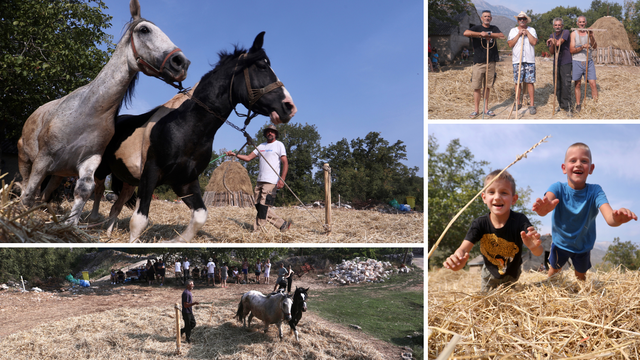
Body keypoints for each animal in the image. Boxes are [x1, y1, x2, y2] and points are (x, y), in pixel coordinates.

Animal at [16, 0, 189, 225]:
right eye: (144, 30)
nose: (181, 62)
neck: (86, 114)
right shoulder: (42, 160)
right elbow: (29, 193)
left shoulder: (89, 161)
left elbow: (84, 190)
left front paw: (70, 225)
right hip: (25, 158)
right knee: (26, 186)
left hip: (58, 174)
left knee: (45, 193)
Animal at [90, 33, 298, 242]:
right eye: (262, 67)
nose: (289, 107)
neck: (184, 126)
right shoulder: (150, 174)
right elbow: (139, 221)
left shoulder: (185, 182)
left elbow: (200, 216)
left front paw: (176, 240)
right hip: (102, 171)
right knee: (97, 192)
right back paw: (92, 222)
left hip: (127, 182)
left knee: (115, 207)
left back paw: (107, 233)